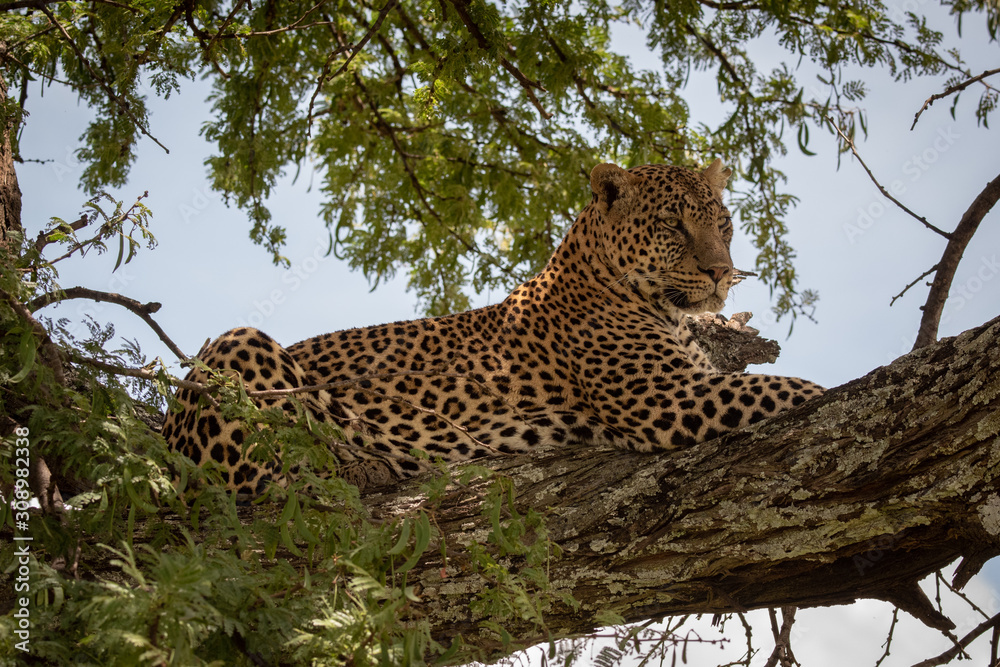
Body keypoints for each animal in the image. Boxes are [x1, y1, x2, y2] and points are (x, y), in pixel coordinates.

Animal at [162, 160, 824, 495]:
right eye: (671, 225)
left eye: (723, 222)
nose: (721, 272)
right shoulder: (661, 397)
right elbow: (788, 388)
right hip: (234, 346)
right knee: (256, 479)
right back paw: (367, 463)